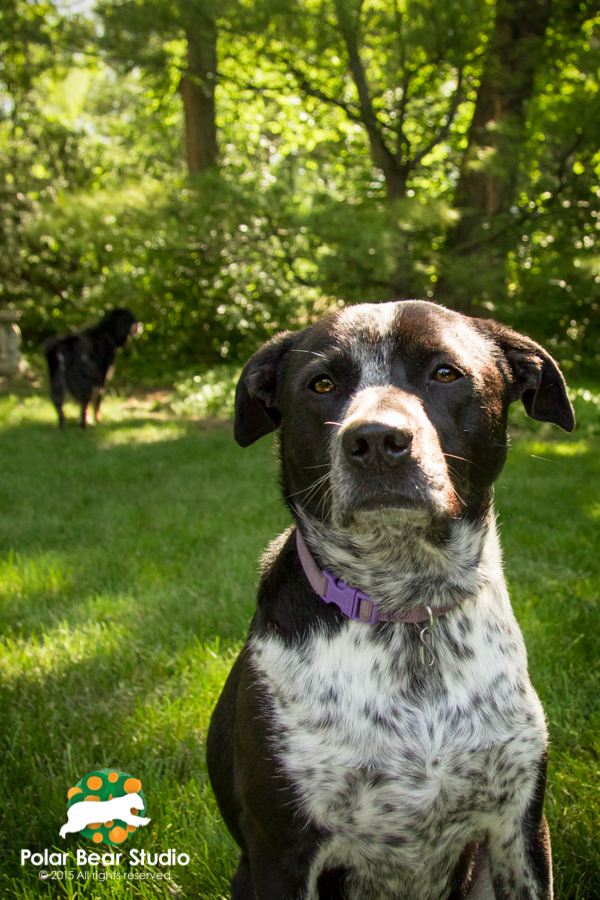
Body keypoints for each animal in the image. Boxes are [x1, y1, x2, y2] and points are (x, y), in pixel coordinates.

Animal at [209, 298, 576, 896]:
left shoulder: (520, 826)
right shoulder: (281, 853)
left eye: (445, 373)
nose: (377, 440)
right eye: (322, 384)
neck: (408, 605)